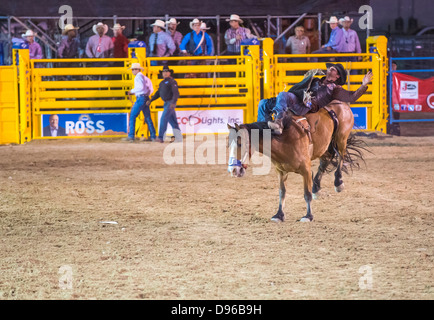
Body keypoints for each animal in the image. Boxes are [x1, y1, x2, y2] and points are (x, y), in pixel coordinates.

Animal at [227, 100, 366, 222]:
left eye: (240, 143)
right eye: (228, 144)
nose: (233, 170)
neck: (284, 140)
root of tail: (343, 104)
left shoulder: (306, 170)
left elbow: (306, 193)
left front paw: (308, 216)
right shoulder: (281, 171)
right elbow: (282, 192)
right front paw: (279, 215)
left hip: (341, 139)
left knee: (341, 157)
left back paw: (338, 182)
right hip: (325, 146)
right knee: (325, 161)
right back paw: (317, 188)